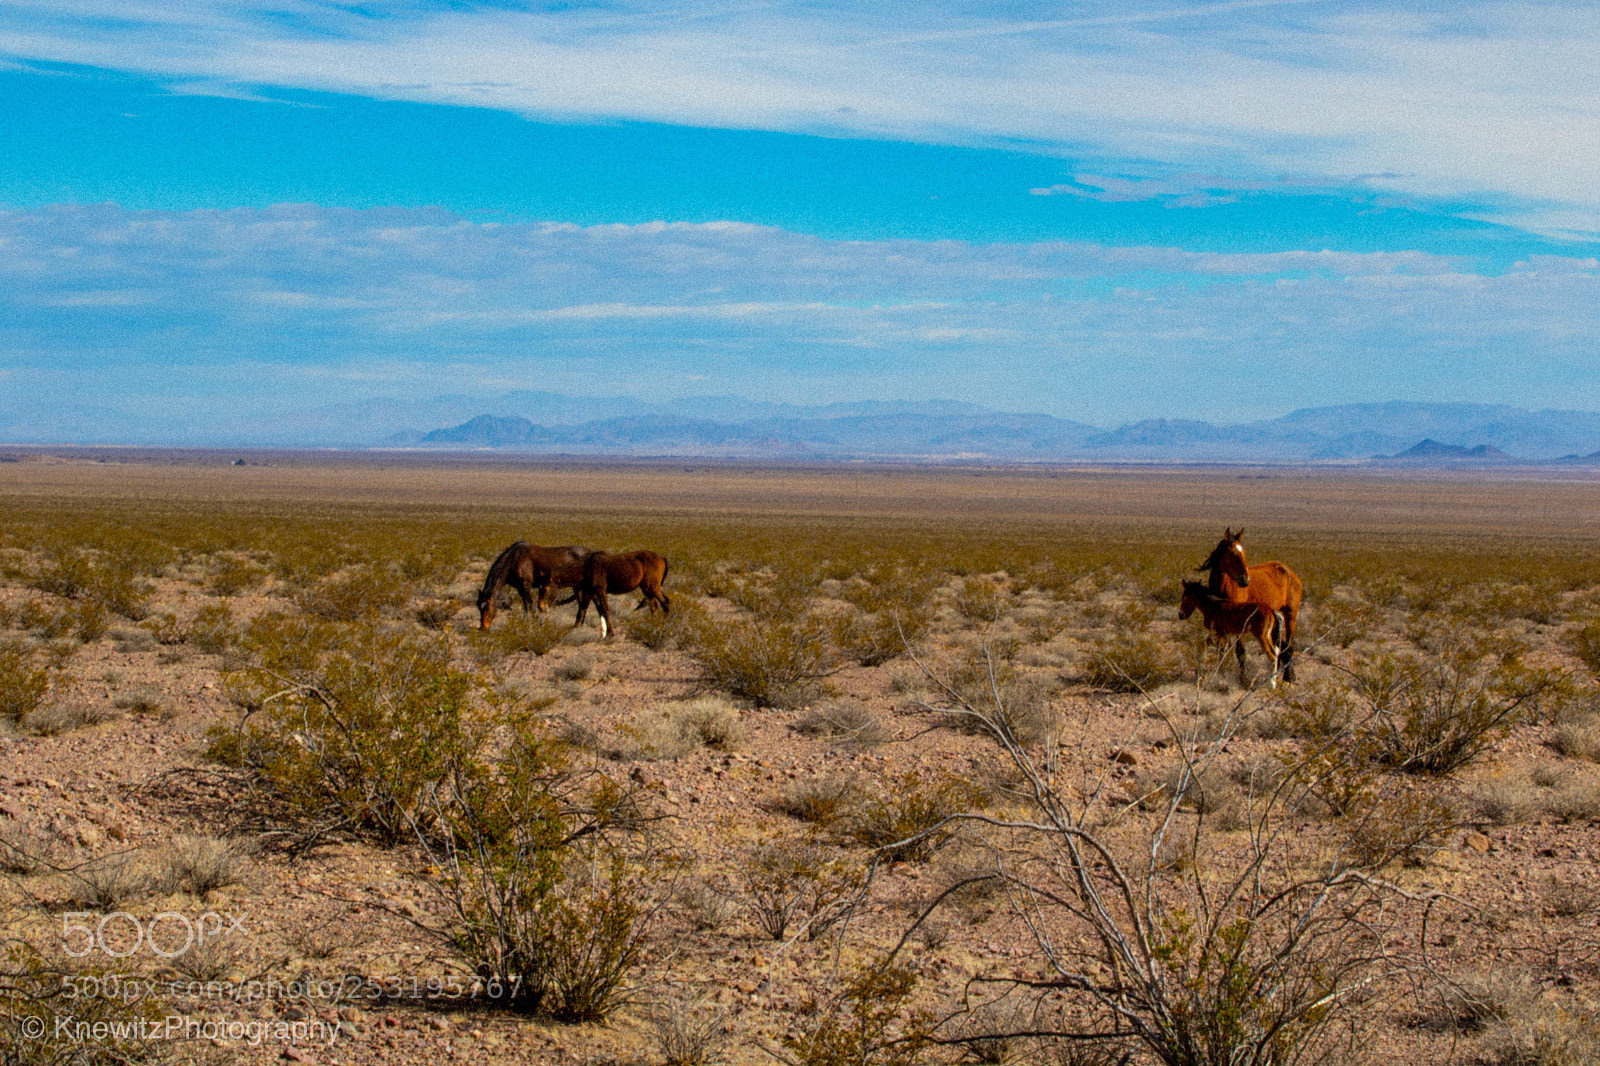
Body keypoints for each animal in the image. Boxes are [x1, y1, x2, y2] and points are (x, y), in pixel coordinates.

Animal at [1197, 528, 1303, 681]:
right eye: (1231, 553)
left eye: (1244, 553)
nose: (1245, 580)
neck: (1224, 588)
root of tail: (1289, 571)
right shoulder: (1220, 624)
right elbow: (1221, 649)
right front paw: (1220, 673)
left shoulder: (1240, 623)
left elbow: (1240, 651)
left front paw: (1243, 679)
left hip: (1290, 614)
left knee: (1288, 646)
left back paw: (1288, 677)